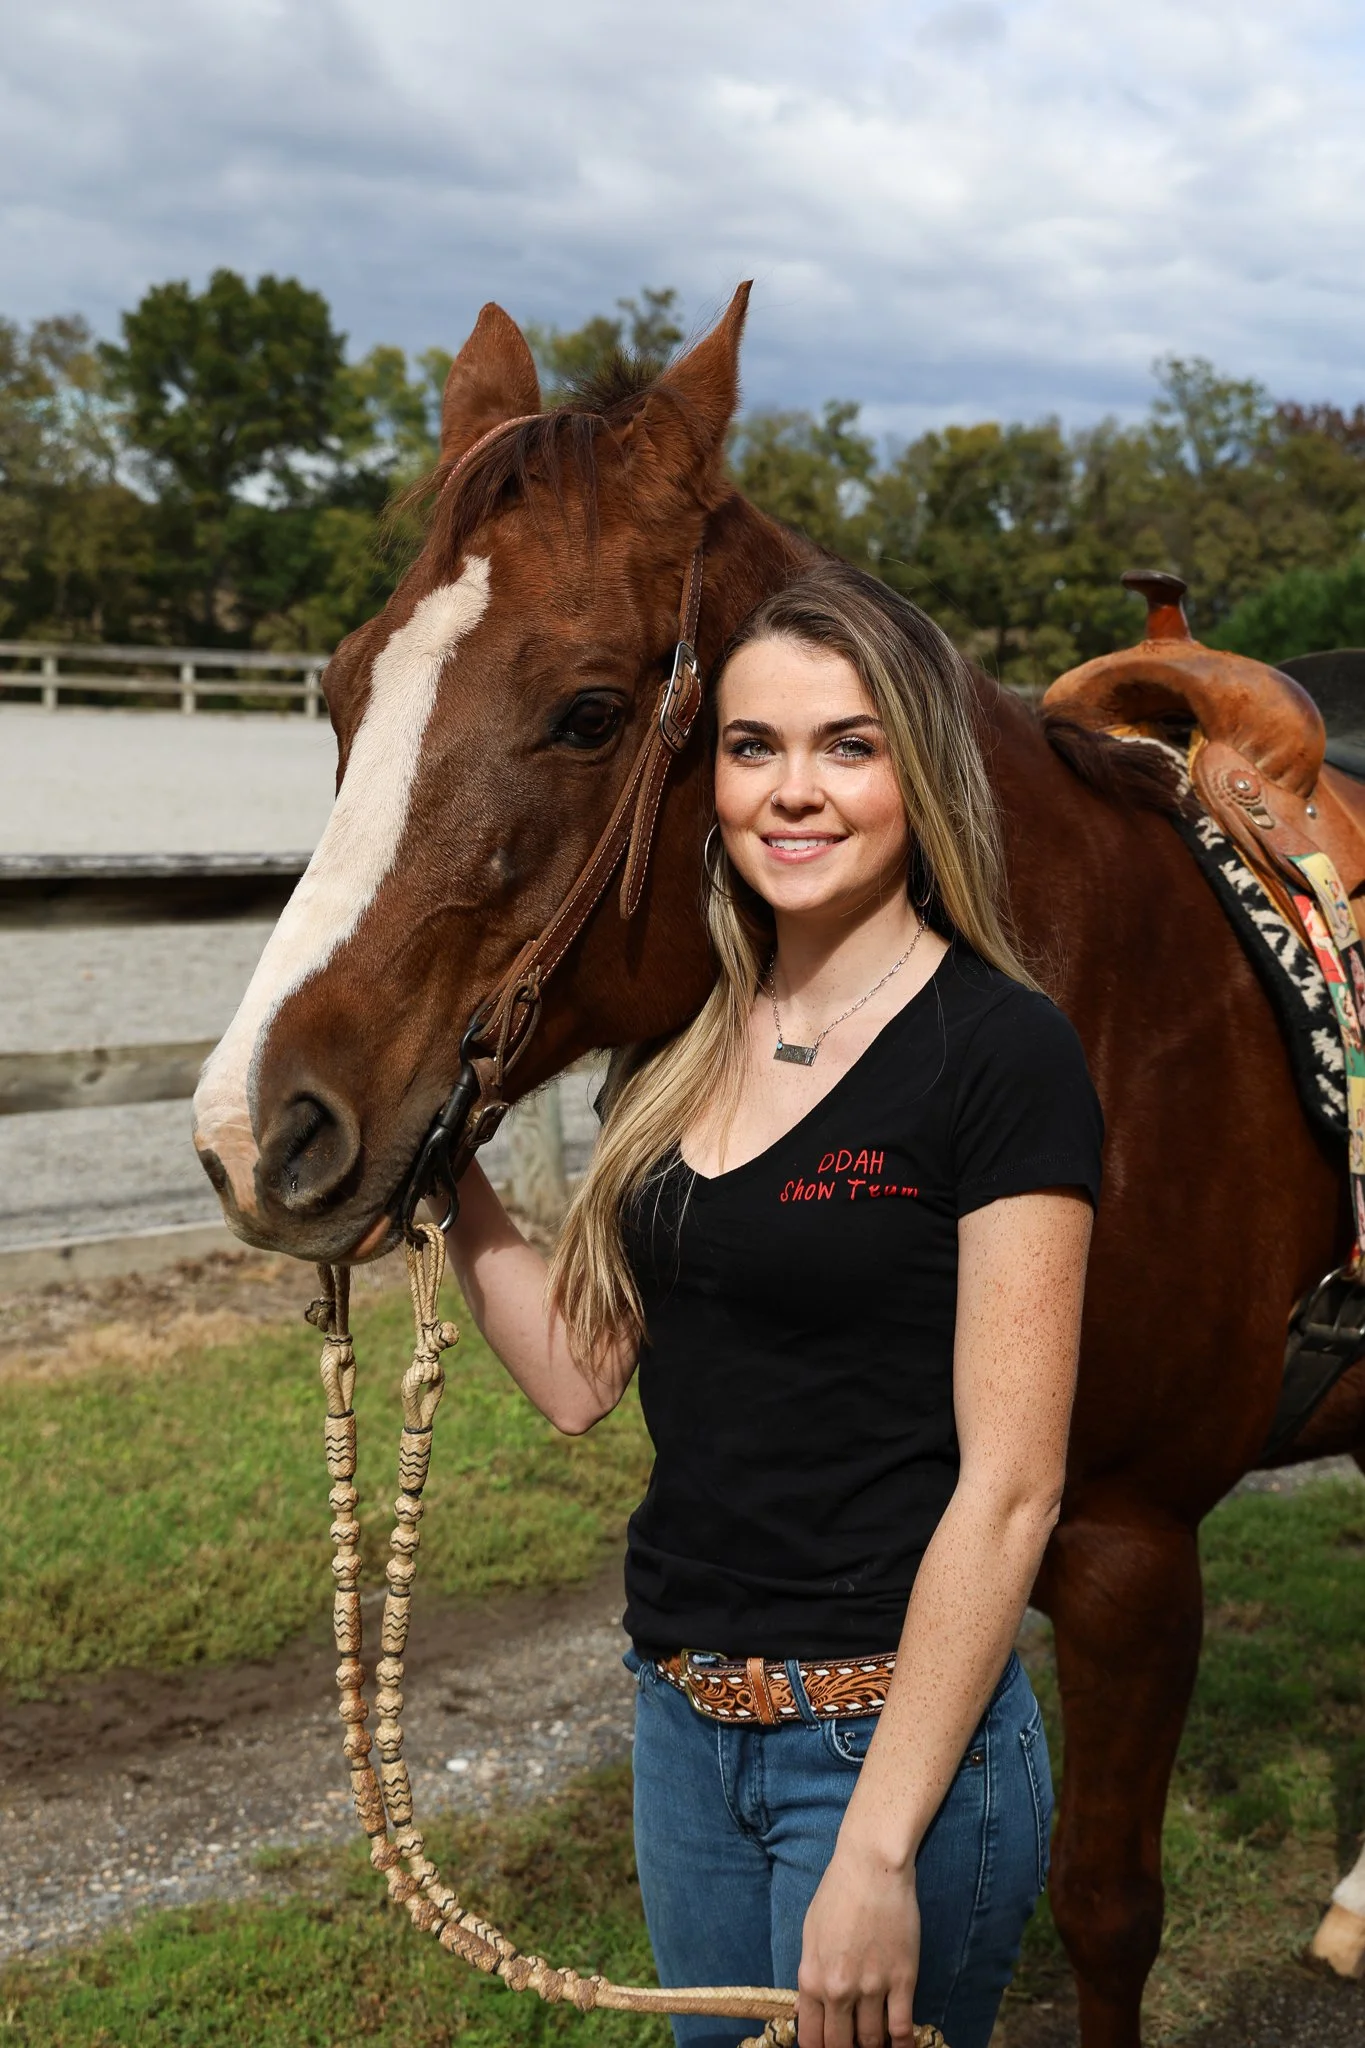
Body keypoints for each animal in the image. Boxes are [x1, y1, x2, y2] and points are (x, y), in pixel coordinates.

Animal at [191, 286, 1365, 2046]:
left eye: (591, 711)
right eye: (339, 695)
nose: (260, 1130)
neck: (1113, 998)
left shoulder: (1127, 1547)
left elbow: (1101, 1907)